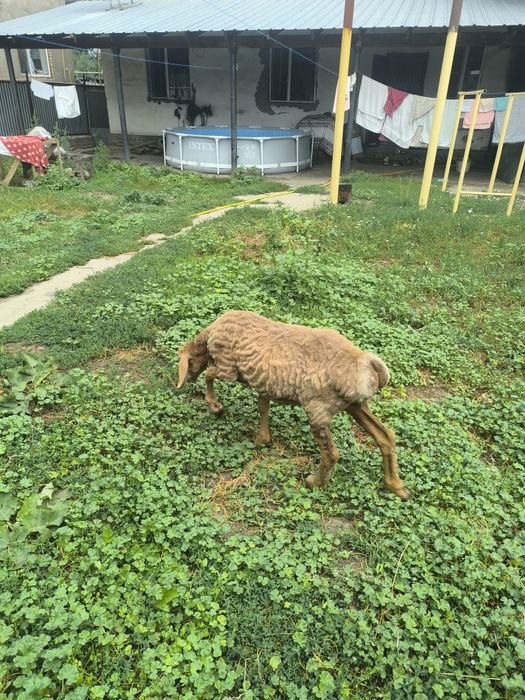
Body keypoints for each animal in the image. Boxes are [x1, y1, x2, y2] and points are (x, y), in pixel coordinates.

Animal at [176, 310, 409, 500]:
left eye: (188, 364)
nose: (186, 380)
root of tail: (366, 364)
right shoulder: (265, 383)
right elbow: (263, 406)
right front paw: (263, 439)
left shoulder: (227, 368)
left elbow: (208, 374)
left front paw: (215, 406)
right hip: (355, 404)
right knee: (385, 436)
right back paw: (397, 487)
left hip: (319, 408)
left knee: (331, 453)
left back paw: (315, 482)